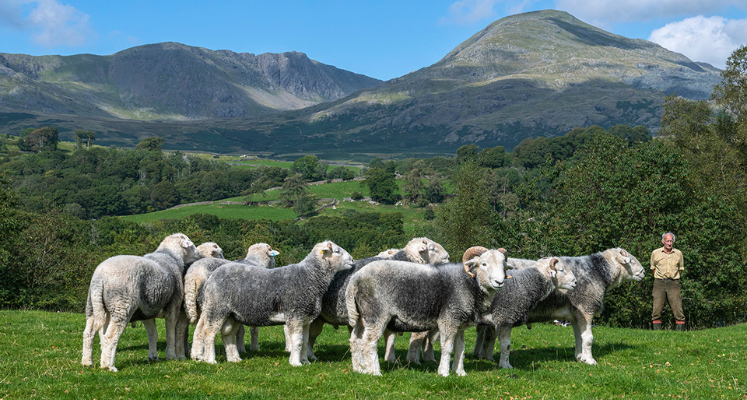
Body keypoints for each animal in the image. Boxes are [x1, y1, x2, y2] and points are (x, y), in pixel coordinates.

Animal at [80, 234, 200, 372]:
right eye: (191, 244)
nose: (198, 254)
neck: (170, 256)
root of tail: (100, 278)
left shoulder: (148, 309)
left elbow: (153, 334)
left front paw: (153, 357)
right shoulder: (173, 304)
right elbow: (170, 333)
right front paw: (171, 356)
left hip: (94, 306)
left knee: (89, 333)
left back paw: (87, 362)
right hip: (121, 304)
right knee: (110, 336)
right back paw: (109, 366)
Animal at [193, 239, 356, 368]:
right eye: (337, 251)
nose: (353, 261)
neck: (309, 276)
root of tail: (212, 277)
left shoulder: (305, 319)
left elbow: (304, 341)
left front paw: (305, 361)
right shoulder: (295, 315)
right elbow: (297, 341)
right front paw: (295, 363)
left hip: (231, 314)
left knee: (227, 335)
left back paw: (234, 359)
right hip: (216, 309)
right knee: (209, 333)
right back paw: (210, 360)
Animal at [306, 238, 450, 362]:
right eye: (431, 248)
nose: (448, 257)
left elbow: (393, 338)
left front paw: (391, 359)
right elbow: (413, 338)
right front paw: (410, 360)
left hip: (318, 319)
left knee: (310, 338)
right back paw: (309, 357)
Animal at [346, 245, 508, 376]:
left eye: (503, 265)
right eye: (484, 264)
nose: (499, 282)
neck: (469, 283)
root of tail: (356, 278)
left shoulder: (460, 324)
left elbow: (460, 349)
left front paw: (460, 372)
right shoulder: (449, 318)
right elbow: (447, 347)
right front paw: (444, 372)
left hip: (362, 316)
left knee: (355, 340)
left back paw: (359, 369)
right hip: (377, 313)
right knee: (368, 343)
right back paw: (374, 372)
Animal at [476, 248, 644, 368]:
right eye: (631, 261)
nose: (643, 272)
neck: (598, 272)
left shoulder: (576, 315)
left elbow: (579, 337)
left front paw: (580, 358)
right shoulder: (586, 308)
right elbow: (588, 338)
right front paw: (590, 360)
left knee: (486, 334)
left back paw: (483, 356)